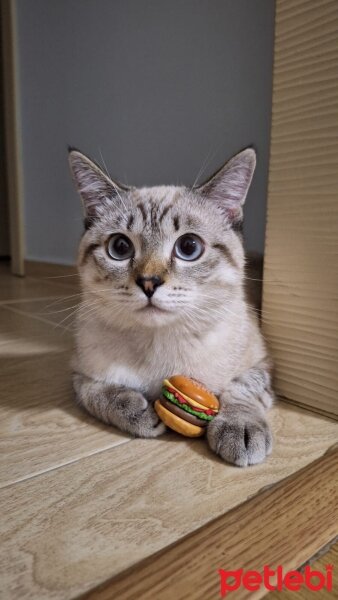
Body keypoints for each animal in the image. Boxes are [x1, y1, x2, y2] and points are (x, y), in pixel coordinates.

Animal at [68, 148, 274, 466]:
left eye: (189, 247)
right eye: (120, 248)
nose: (149, 283)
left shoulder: (261, 364)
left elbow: (240, 389)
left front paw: (240, 428)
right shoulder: (79, 374)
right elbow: (100, 393)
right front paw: (139, 412)